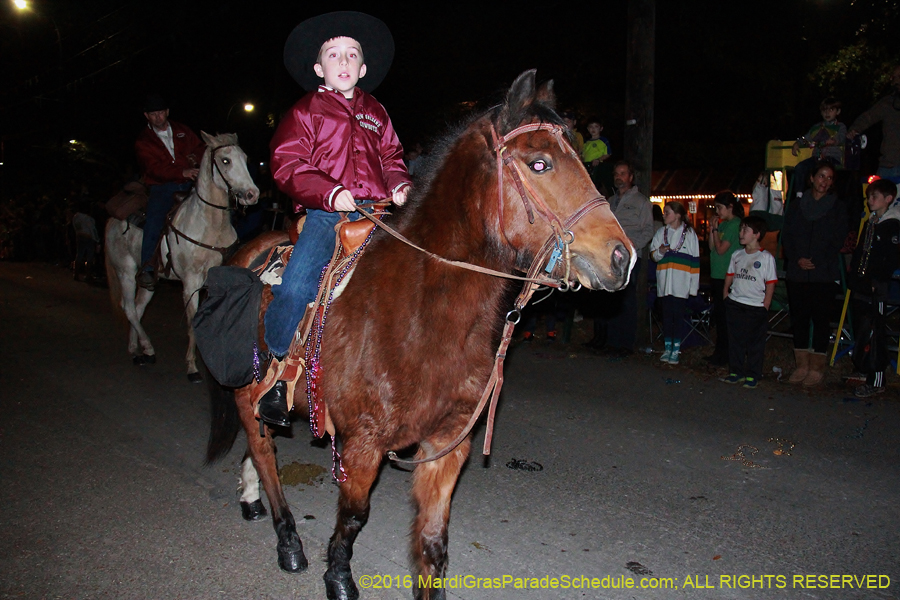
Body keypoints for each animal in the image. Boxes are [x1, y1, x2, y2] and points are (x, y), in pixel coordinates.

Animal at [208, 71, 636, 600]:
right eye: (540, 163)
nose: (622, 257)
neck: (424, 315)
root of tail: (244, 252)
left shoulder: (447, 446)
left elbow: (434, 545)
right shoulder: (362, 444)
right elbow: (354, 516)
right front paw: (339, 576)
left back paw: (251, 499)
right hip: (247, 395)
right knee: (265, 451)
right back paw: (287, 538)